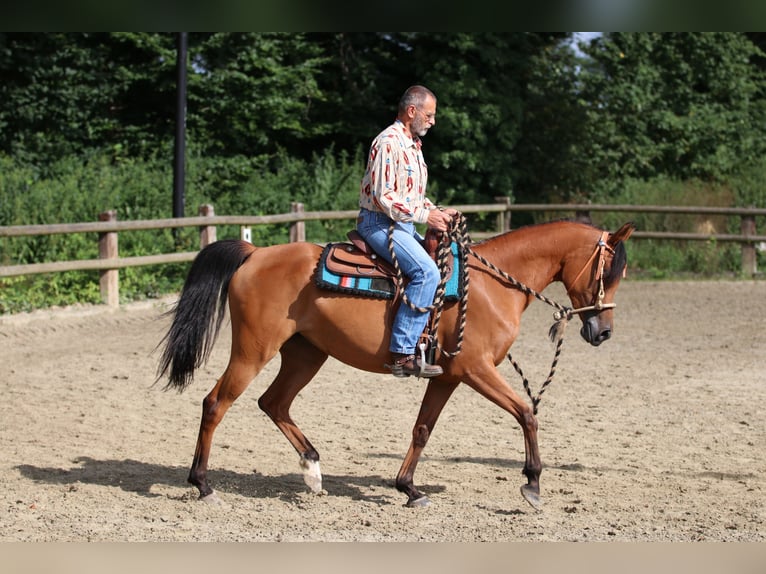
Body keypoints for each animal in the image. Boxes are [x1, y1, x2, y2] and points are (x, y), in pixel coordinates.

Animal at [154, 218, 636, 510]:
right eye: (609, 273)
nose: (604, 332)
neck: (489, 286)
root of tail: (255, 255)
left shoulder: (449, 376)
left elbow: (422, 429)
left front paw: (409, 488)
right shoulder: (478, 370)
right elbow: (526, 413)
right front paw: (533, 483)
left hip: (306, 354)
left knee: (273, 403)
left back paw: (312, 471)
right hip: (253, 351)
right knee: (216, 403)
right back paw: (203, 484)